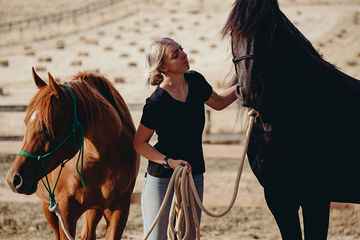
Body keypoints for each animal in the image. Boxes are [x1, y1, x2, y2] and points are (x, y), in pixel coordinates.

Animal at [5, 68, 139, 239]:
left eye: (46, 127)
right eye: (26, 122)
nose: (13, 179)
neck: (100, 159)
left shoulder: (119, 210)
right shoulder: (65, 213)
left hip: (94, 209)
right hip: (48, 208)